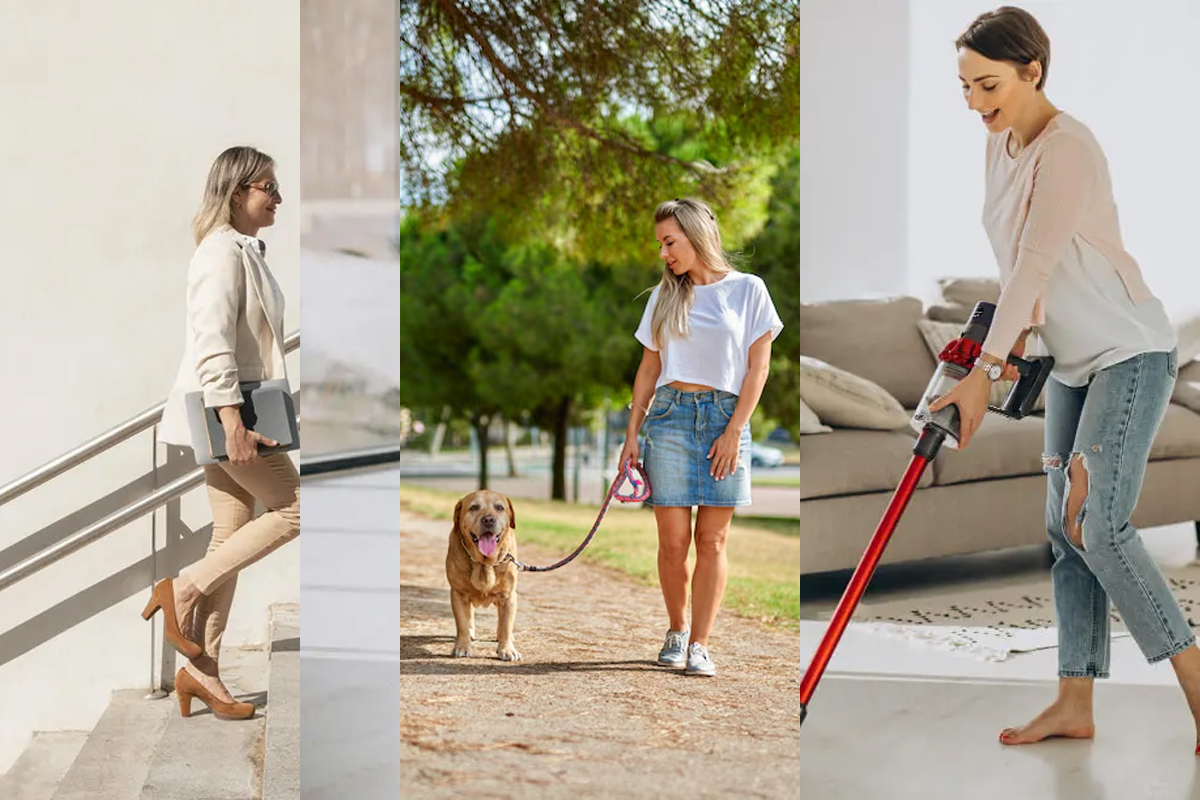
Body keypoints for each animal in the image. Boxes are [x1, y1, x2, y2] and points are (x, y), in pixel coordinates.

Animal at [441, 491, 516, 662]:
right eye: (474, 507)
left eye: (499, 507)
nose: (488, 519)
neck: (484, 564)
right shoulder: (458, 594)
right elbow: (462, 623)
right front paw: (462, 647)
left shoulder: (508, 596)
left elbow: (506, 625)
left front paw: (507, 649)